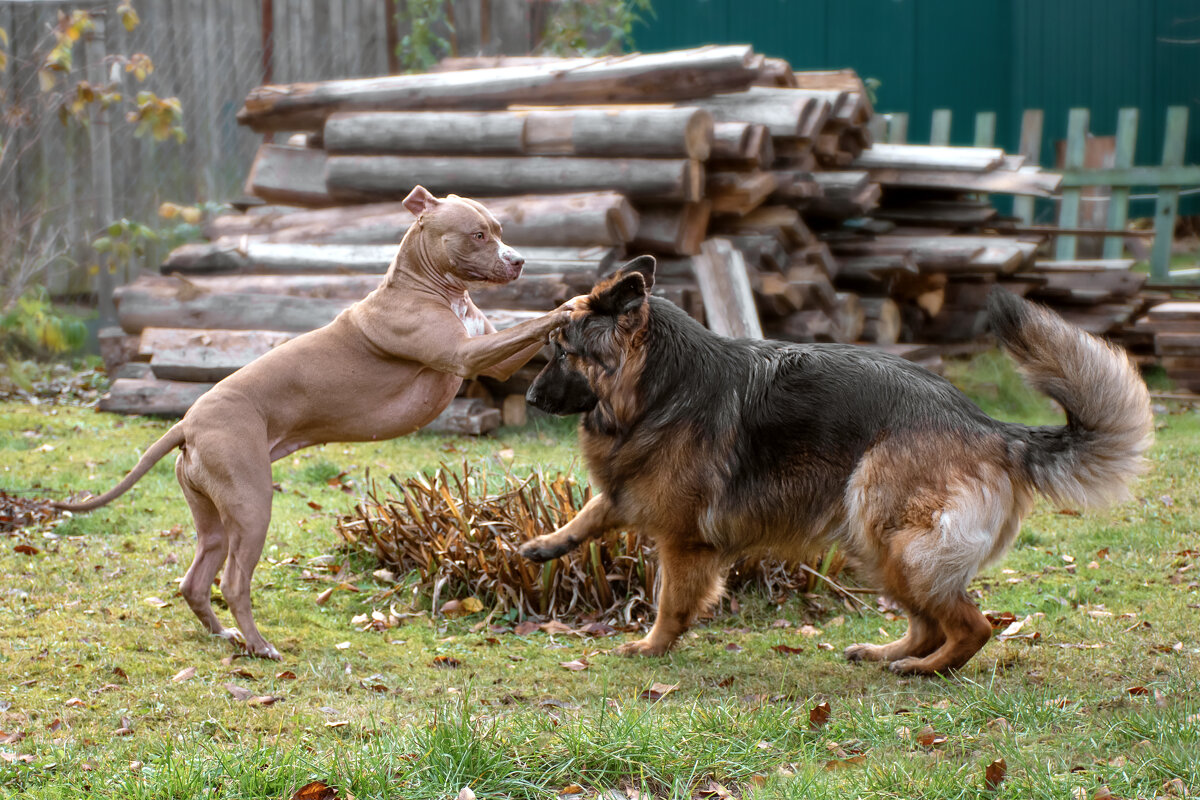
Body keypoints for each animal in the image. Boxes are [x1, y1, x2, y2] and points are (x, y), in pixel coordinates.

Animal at [54, 185, 578, 657]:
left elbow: (528, 333)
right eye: (477, 235)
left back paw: (225, 636)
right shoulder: (465, 355)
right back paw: (259, 646)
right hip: (251, 505)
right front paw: (571, 304)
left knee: (194, 582)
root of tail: (187, 423)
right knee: (233, 582)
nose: (520, 261)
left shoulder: (497, 360)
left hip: (214, 518)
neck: (429, 287)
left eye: (499, 230)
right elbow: (532, 323)